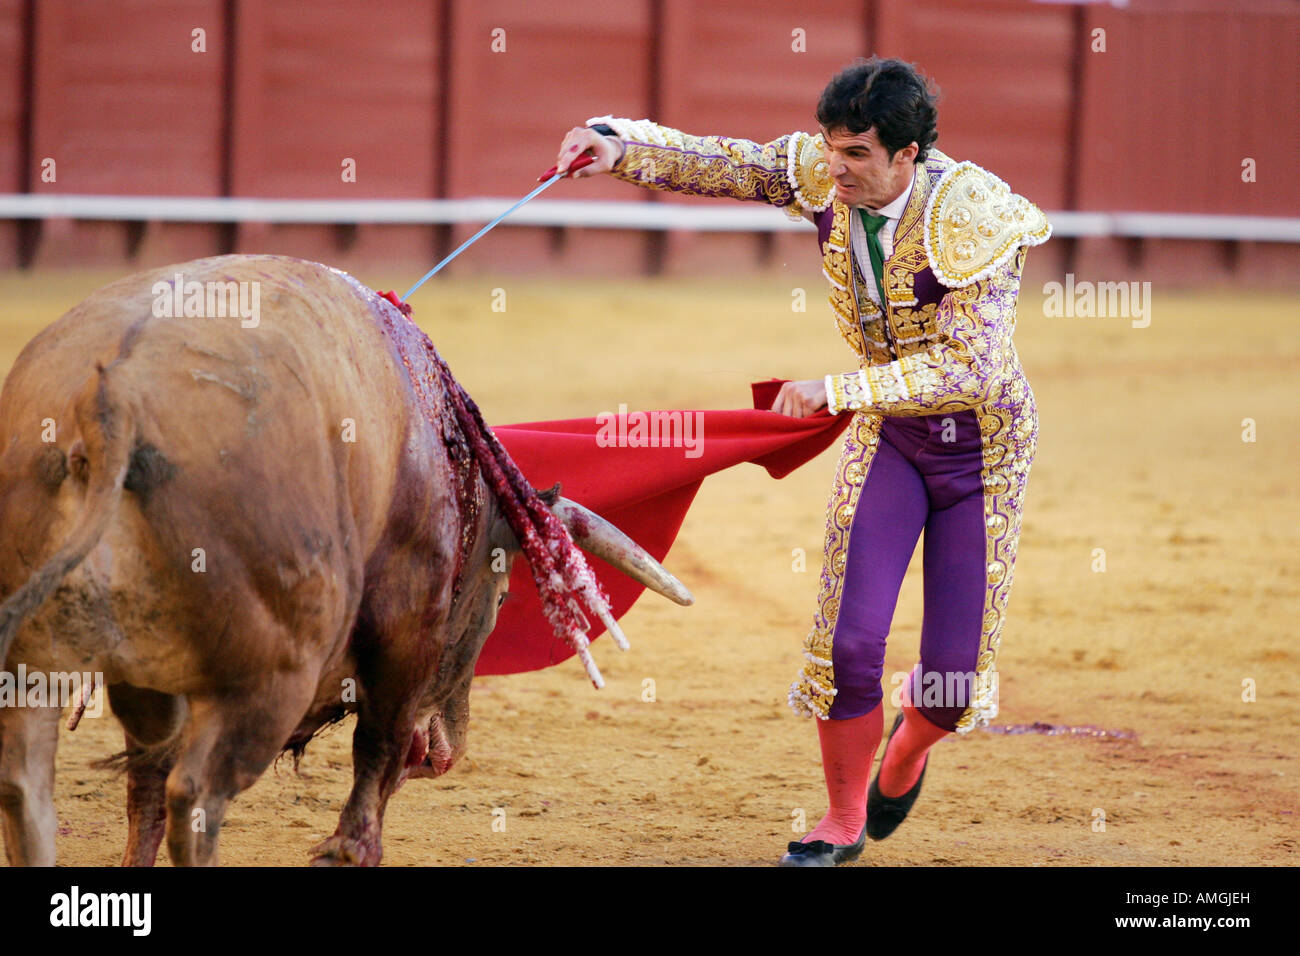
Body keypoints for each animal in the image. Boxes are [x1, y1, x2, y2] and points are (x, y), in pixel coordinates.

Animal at [0, 254, 691, 868]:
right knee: (195, 797)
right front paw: (350, 846)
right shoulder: (407, 629)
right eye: (500, 594)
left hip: (42, 663)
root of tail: (111, 399)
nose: (446, 752)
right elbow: (375, 762)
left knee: (36, 790)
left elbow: (142, 793)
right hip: (269, 675)